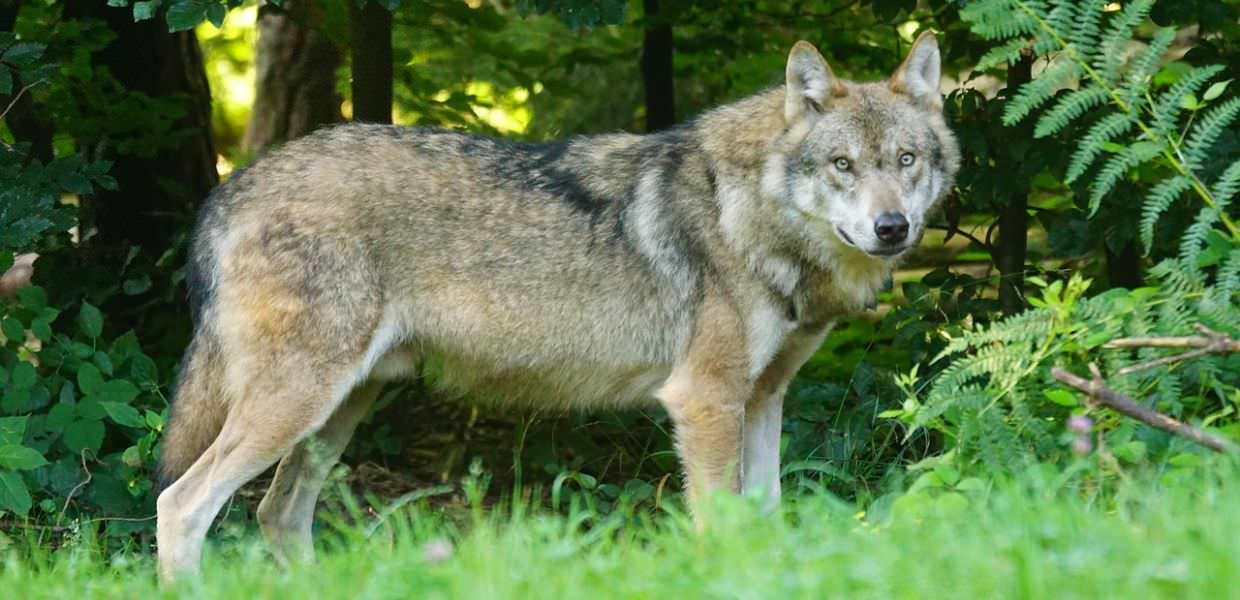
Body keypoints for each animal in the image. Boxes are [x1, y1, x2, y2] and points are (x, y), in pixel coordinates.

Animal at [155, 31, 959, 580]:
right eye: (843, 165)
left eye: (906, 161)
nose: (893, 228)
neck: (748, 213)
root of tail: (230, 187)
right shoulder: (705, 401)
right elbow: (720, 527)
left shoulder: (763, 399)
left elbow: (765, 519)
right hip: (298, 405)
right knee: (182, 504)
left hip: (338, 411)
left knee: (277, 514)